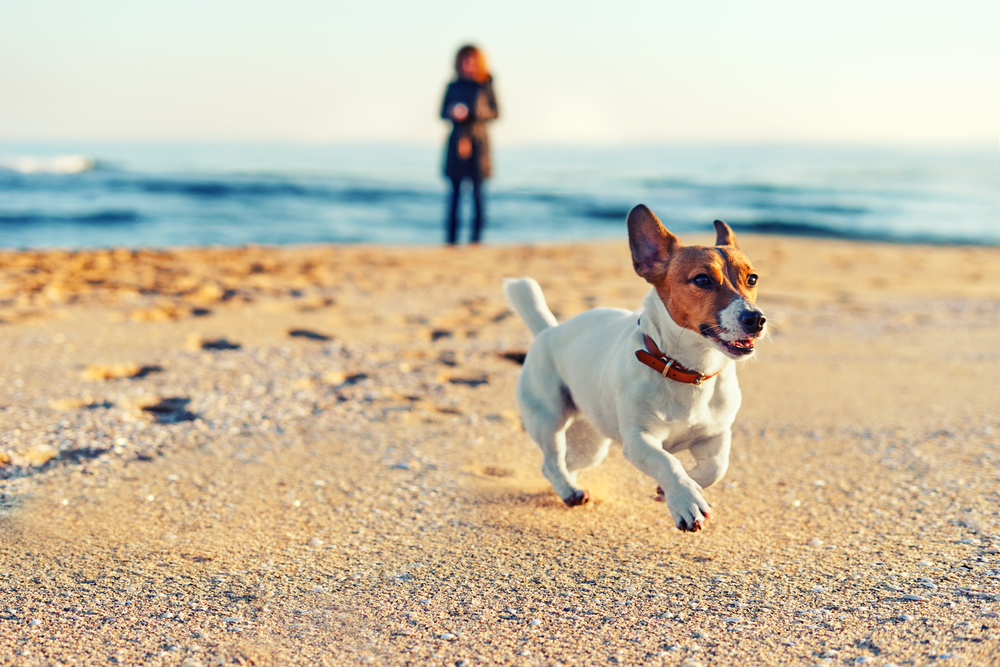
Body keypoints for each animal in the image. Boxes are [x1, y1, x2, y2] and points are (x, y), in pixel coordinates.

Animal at [504, 204, 768, 532]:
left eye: (752, 279)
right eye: (702, 280)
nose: (756, 320)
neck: (689, 371)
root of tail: (548, 331)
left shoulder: (715, 435)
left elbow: (717, 467)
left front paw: (679, 488)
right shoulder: (639, 440)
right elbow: (668, 462)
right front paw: (685, 499)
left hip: (591, 444)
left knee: (565, 462)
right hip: (548, 417)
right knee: (551, 460)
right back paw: (569, 491)